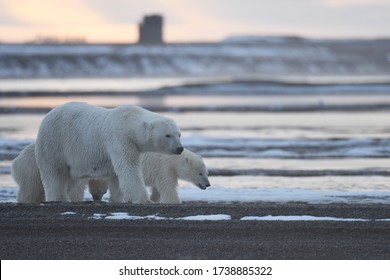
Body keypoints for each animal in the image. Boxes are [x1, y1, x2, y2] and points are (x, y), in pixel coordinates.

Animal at [34, 101, 184, 202]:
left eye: (179, 134)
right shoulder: (120, 139)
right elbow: (128, 168)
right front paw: (143, 199)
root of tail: (49, 114)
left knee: (70, 178)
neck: (128, 122)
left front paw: (118, 198)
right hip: (54, 143)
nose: (180, 148)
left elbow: (117, 176)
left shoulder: (133, 146)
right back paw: (57, 197)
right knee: (54, 172)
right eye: (167, 135)